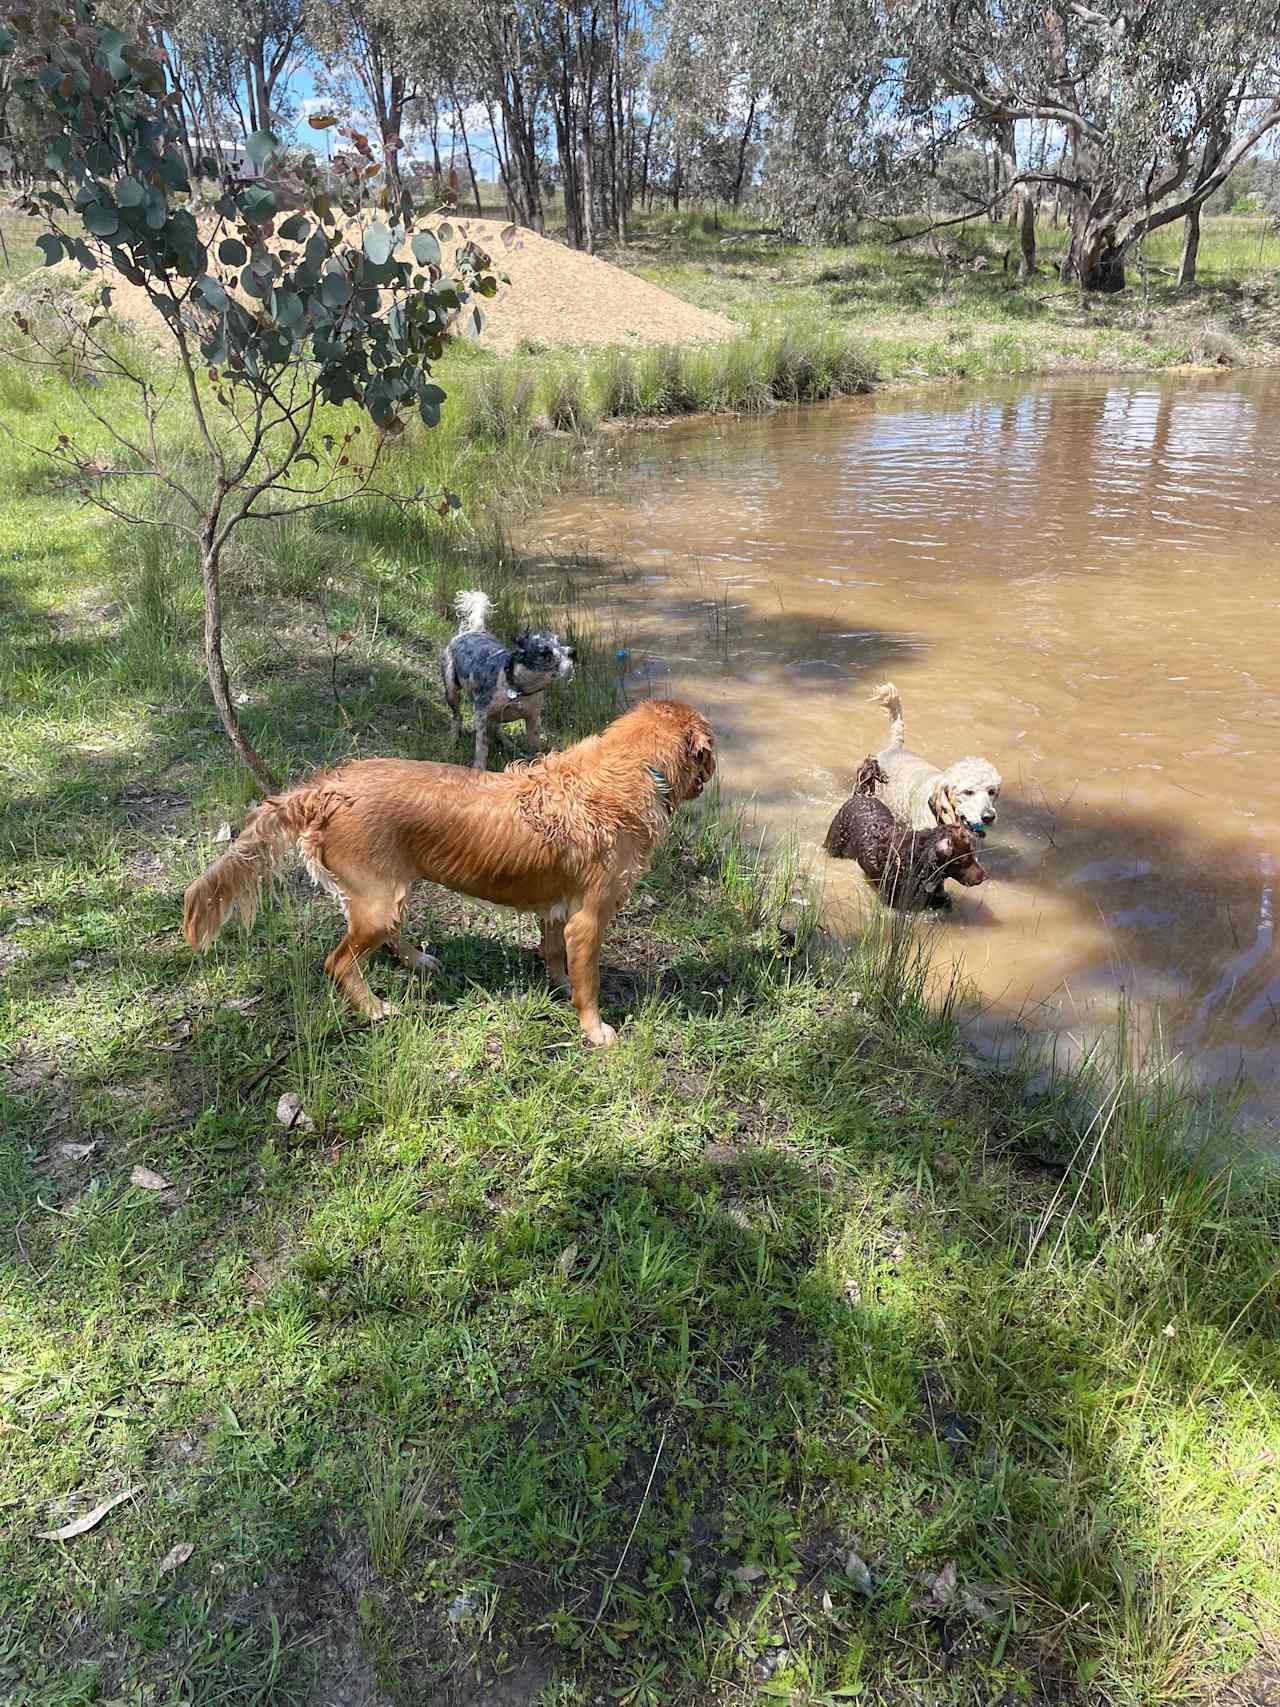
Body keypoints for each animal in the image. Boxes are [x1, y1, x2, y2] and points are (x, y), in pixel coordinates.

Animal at [184, 693, 716, 1037]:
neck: (629, 772)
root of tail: (330, 788)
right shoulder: (589, 918)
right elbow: (590, 981)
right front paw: (595, 1028)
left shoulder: (556, 908)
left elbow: (554, 956)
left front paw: (559, 987)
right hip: (379, 901)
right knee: (338, 962)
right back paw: (375, 1009)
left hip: (389, 892)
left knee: (385, 937)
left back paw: (417, 959)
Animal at [443, 590, 580, 771]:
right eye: (545, 652)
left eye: (559, 641)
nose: (573, 652)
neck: (519, 691)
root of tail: (472, 631)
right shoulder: (480, 713)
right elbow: (482, 745)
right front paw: (479, 767)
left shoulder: (533, 719)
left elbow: (533, 746)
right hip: (451, 690)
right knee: (457, 717)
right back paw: (452, 739)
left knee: (496, 728)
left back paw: (507, 744)